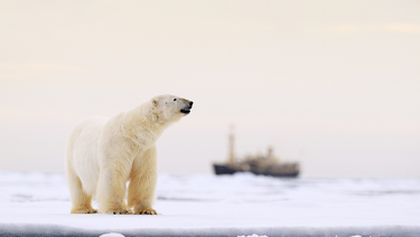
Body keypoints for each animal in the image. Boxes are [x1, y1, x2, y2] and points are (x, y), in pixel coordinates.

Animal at [66, 95, 194, 215]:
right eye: (174, 98)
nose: (191, 102)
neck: (133, 131)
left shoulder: (144, 149)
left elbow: (143, 175)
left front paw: (147, 210)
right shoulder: (117, 146)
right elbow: (114, 174)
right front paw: (116, 209)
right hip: (72, 156)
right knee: (78, 185)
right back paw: (85, 209)